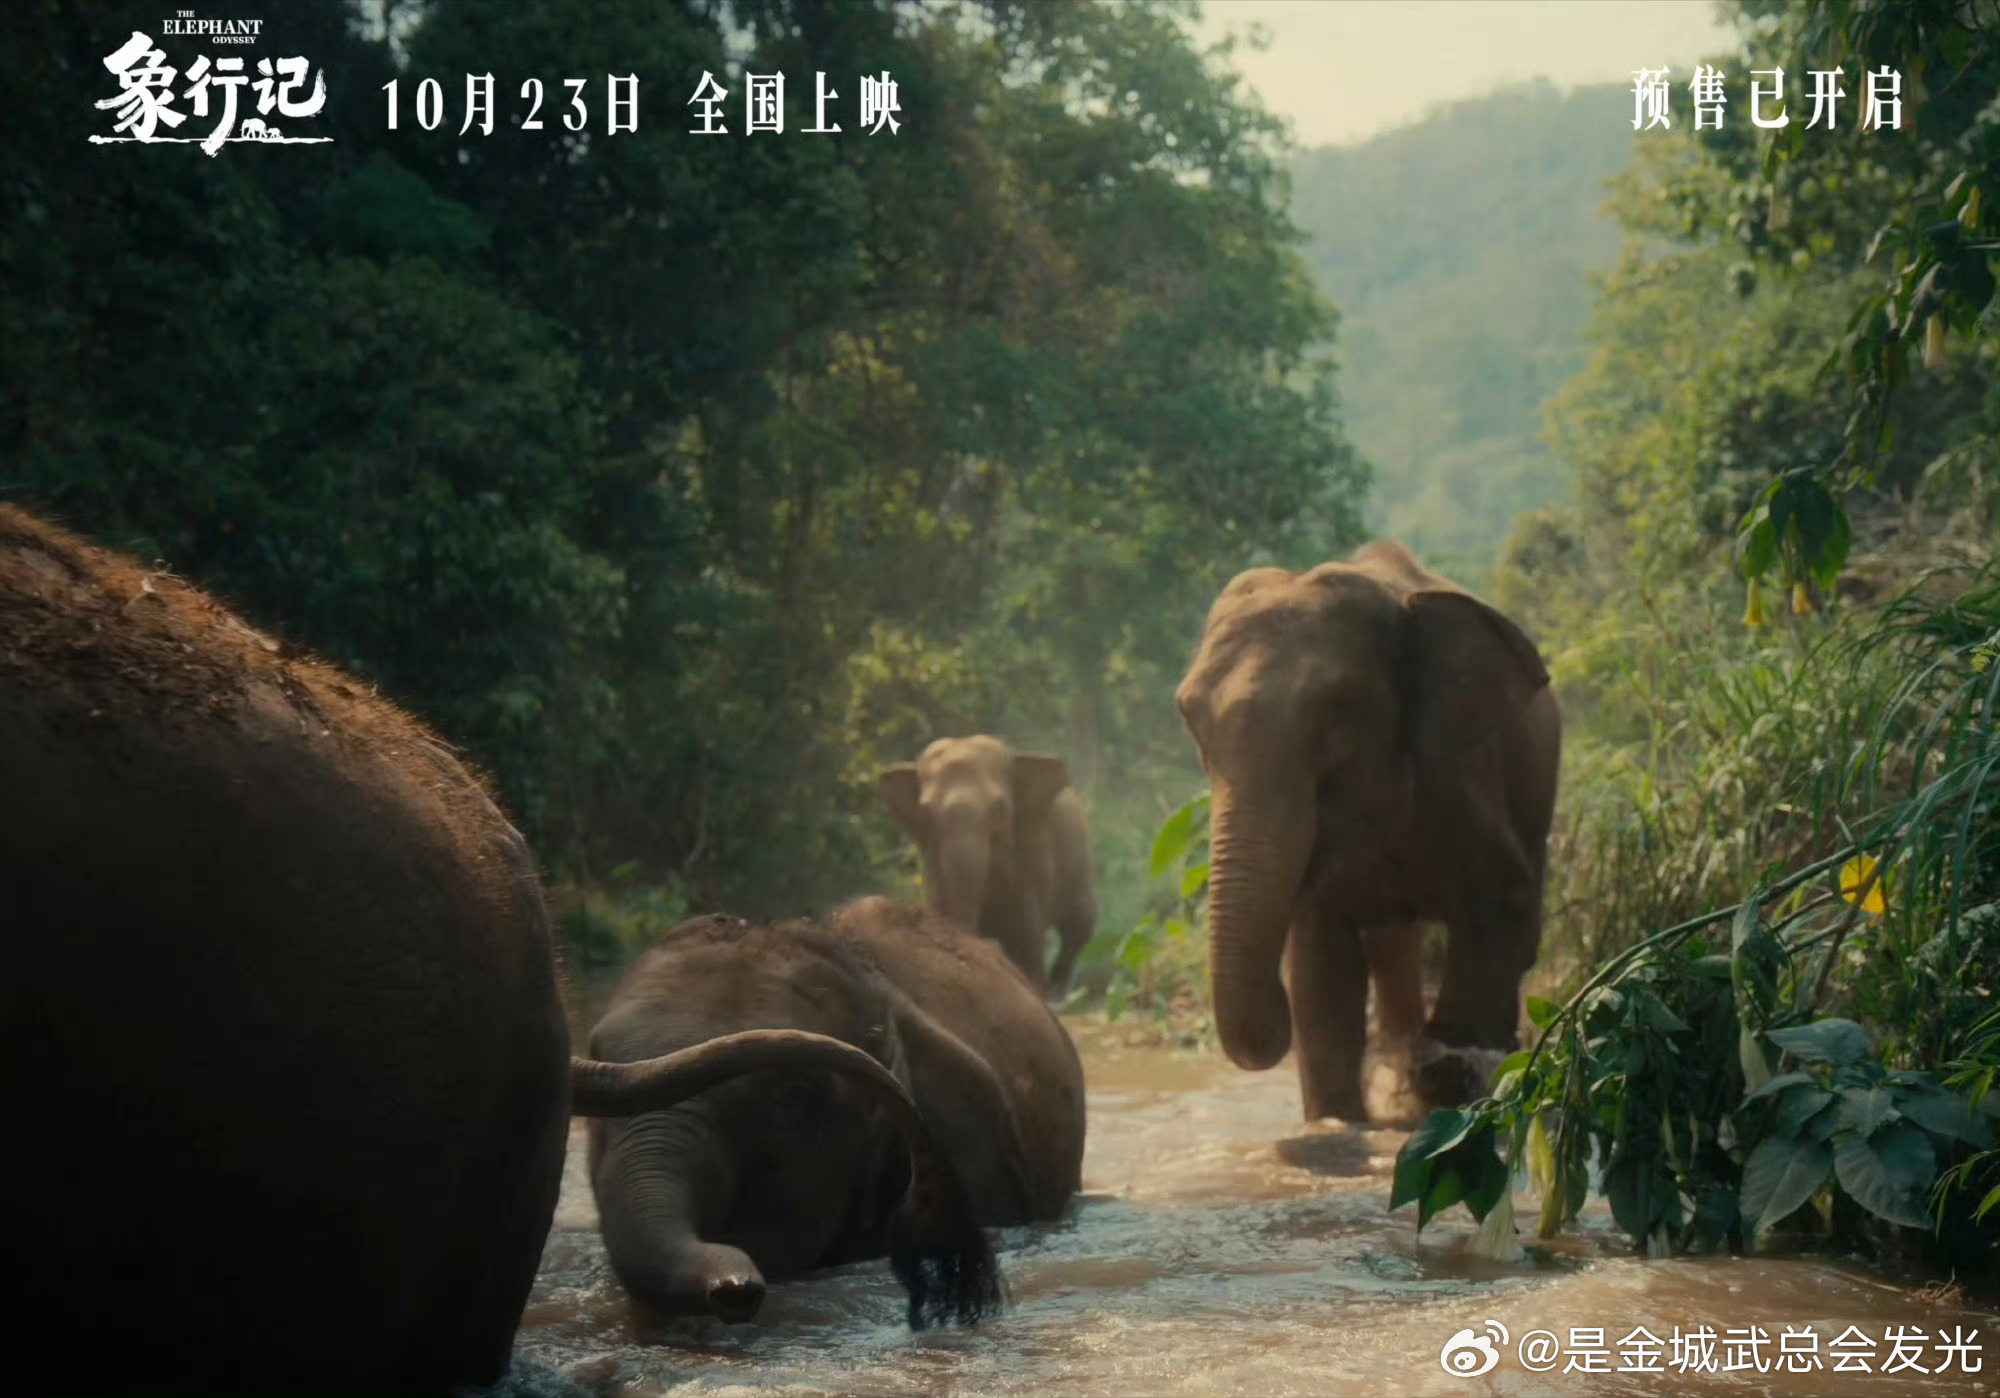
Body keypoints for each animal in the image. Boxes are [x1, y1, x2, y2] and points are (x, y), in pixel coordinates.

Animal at [878, 735, 1099, 996]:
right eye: (925, 811)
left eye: (1000, 808)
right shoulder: (930, 857)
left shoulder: (1034, 847)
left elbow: (1026, 936)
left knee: (1079, 926)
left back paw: (1056, 988)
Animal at [1175, 539, 1560, 1123]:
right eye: (1189, 717)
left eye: (1339, 712)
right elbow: (1322, 972)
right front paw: (1343, 1118)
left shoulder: (1463, 772)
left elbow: (1500, 907)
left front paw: (1443, 1071)